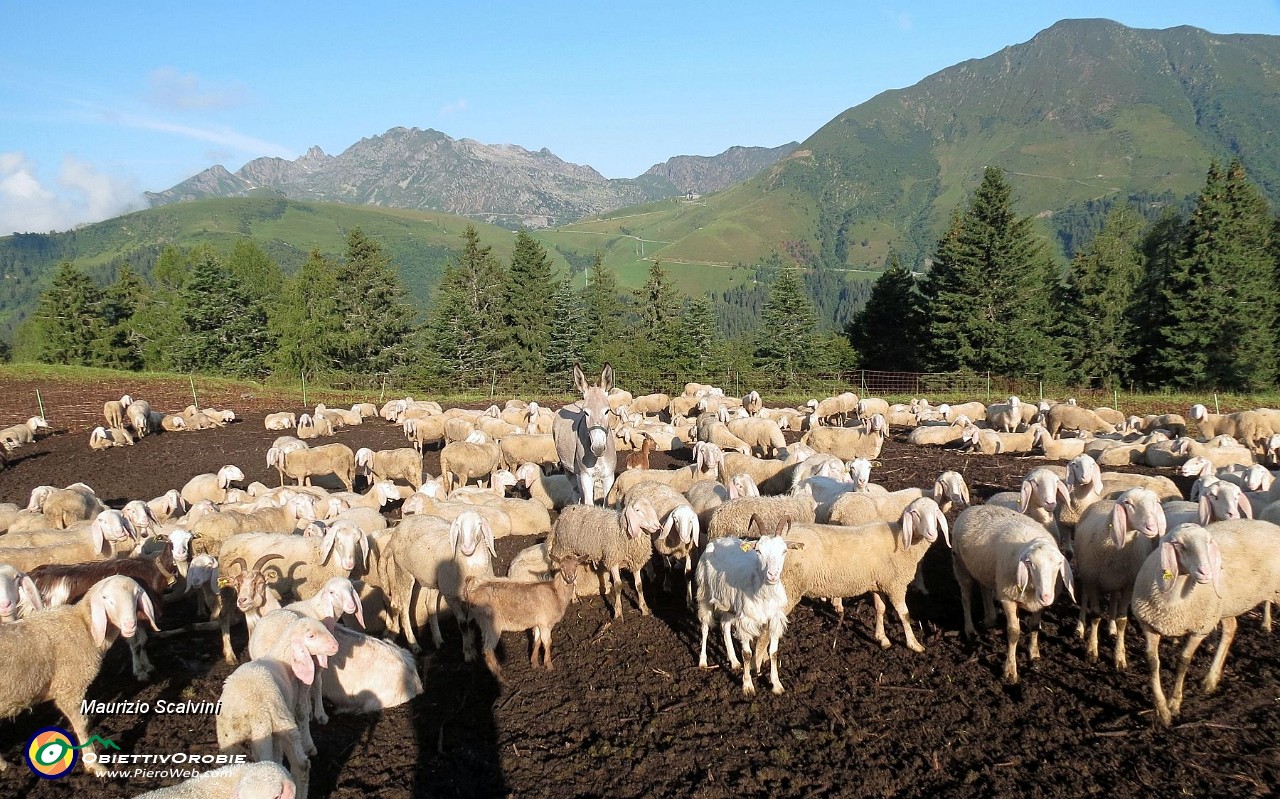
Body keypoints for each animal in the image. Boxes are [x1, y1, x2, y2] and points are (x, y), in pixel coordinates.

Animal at [0, 573, 156, 773]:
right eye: (106, 598)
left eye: (137, 594)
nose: (130, 625)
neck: (84, 626)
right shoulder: (68, 687)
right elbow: (82, 724)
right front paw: (95, 764)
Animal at [217, 612, 343, 793]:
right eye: (311, 636)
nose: (335, 646)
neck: (281, 659)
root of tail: (254, 710)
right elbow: (303, 713)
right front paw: (309, 746)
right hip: (283, 722)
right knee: (301, 764)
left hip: (229, 735)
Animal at [696, 517, 803, 691]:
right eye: (758, 551)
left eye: (784, 551)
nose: (772, 575)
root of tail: (716, 541)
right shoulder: (746, 620)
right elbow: (747, 654)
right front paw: (747, 686)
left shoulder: (774, 619)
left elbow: (773, 652)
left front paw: (777, 685)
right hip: (704, 594)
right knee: (705, 626)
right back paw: (703, 662)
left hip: (729, 605)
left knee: (724, 625)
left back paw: (734, 661)